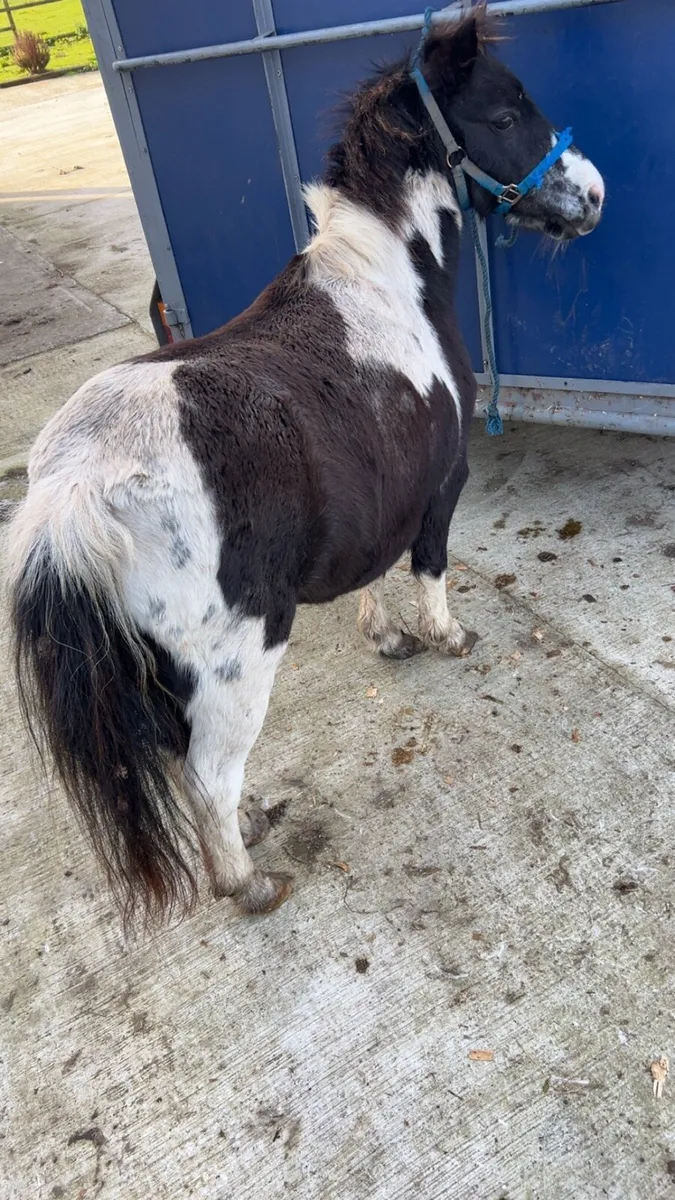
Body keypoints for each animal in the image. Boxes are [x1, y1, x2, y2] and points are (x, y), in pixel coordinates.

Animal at [7, 11, 604, 927]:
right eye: (505, 115)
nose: (593, 194)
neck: (385, 285)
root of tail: (71, 497)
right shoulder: (441, 484)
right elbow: (428, 565)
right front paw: (444, 637)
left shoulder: (380, 492)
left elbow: (374, 568)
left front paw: (387, 637)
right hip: (237, 659)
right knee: (206, 773)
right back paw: (247, 880)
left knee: (187, 763)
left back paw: (253, 820)